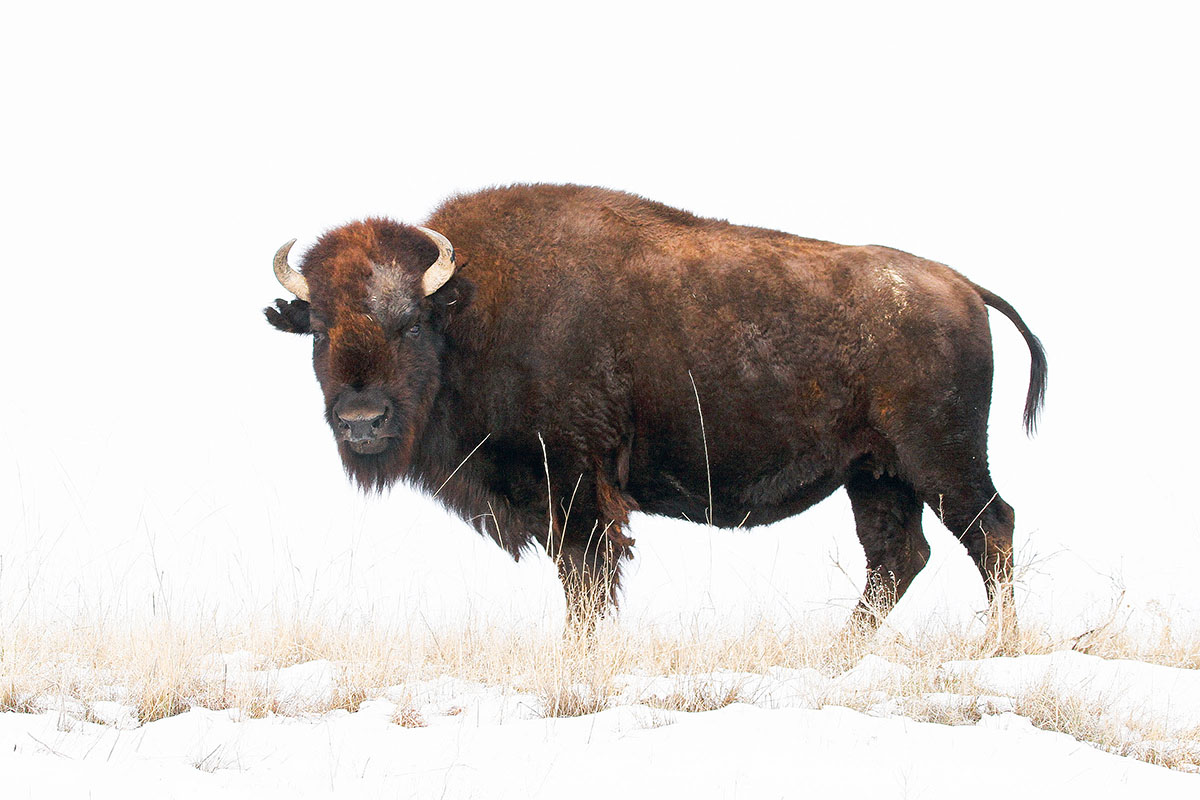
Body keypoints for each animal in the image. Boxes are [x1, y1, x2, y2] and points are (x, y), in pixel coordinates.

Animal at [262, 184, 1041, 642]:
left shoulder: (577, 486)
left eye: (410, 325)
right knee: (897, 555)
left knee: (990, 530)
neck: (473, 307)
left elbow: (585, 580)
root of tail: (961, 286)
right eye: (320, 327)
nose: (362, 421)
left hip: (942, 460)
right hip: (876, 473)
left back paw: (998, 642)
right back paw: (838, 652)